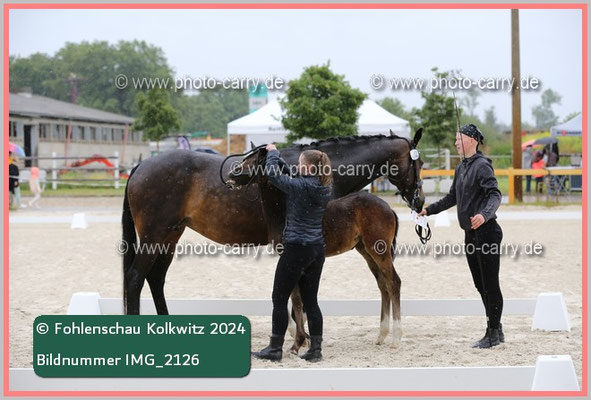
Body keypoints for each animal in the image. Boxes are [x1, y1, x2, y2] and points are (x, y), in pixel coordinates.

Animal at [122, 129, 425, 325]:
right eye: (419, 162)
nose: (420, 200)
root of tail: (140, 167)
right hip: (154, 236)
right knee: (135, 278)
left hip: (170, 236)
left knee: (155, 278)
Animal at [226, 146, 406, 349]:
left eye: (253, 160)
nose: (231, 176)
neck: (284, 209)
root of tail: (388, 208)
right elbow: (298, 299)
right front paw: (304, 339)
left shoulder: (290, 259)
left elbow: (296, 299)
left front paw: (298, 342)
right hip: (367, 252)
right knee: (383, 284)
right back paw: (381, 335)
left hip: (379, 251)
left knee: (393, 283)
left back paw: (396, 338)